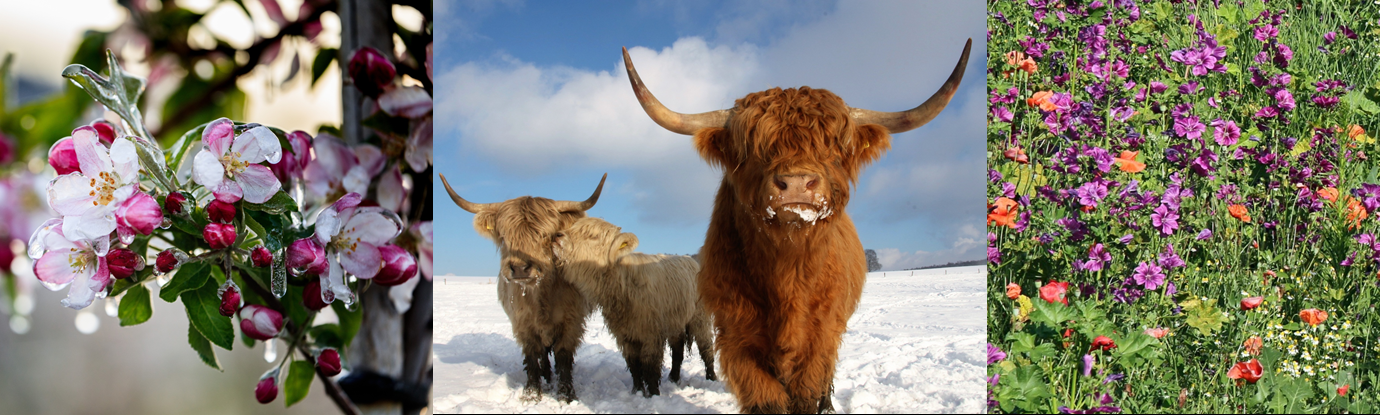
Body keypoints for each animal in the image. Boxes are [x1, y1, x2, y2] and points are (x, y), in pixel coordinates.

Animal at [438, 172, 607, 399]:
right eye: (504, 236)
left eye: (545, 235)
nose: (520, 269)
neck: (542, 296)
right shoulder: (522, 322)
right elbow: (532, 355)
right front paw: (532, 393)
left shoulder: (571, 321)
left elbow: (563, 356)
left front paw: (566, 394)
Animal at [552, 216, 723, 394]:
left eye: (592, 236)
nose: (557, 236)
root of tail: (690, 260)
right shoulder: (624, 334)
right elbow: (633, 364)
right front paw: (638, 391)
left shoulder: (651, 334)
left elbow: (650, 366)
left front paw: (654, 393)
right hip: (675, 322)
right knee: (678, 350)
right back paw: (674, 378)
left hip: (699, 318)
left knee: (705, 347)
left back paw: (711, 377)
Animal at [626, 38, 971, 410]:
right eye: (752, 148)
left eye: (834, 147)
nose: (796, 183)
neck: (786, 273)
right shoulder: (737, 337)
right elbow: (766, 400)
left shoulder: (820, 336)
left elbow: (808, 391)